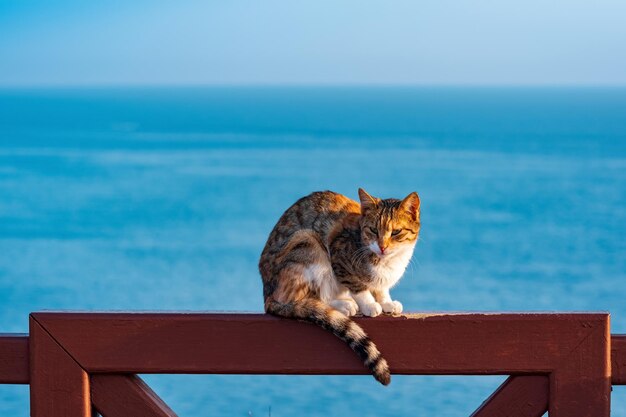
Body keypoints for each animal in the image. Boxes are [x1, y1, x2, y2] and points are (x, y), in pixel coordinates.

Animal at [258, 188, 420, 384]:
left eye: (396, 232)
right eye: (373, 230)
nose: (382, 247)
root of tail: (267, 295)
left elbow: (381, 288)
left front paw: (386, 302)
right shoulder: (339, 257)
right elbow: (358, 285)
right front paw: (370, 304)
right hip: (307, 242)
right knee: (303, 297)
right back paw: (344, 304)